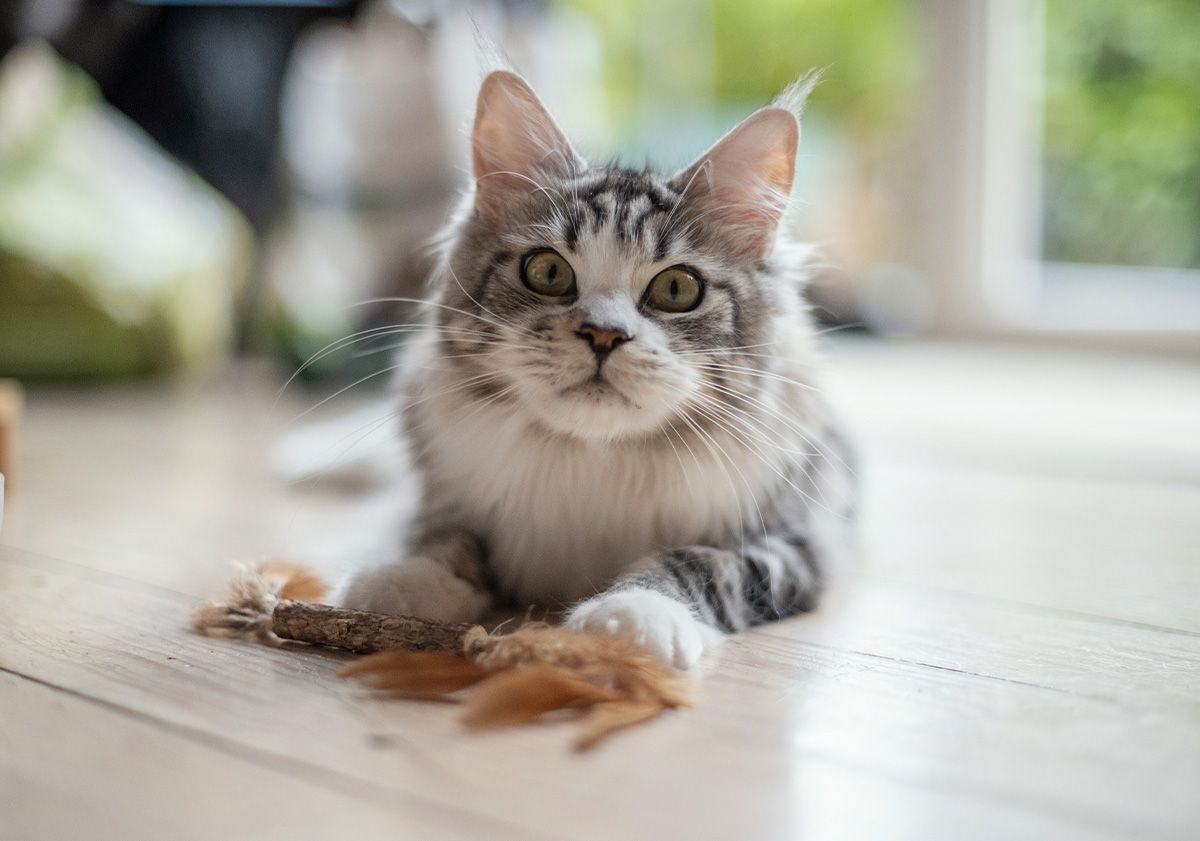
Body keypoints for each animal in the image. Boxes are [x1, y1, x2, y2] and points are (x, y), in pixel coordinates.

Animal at [333, 68, 859, 667]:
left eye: (676, 289)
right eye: (547, 272)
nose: (604, 334)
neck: (593, 459)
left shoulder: (797, 545)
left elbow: (696, 564)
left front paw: (631, 618)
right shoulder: (449, 500)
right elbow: (445, 541)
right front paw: (400, 581)